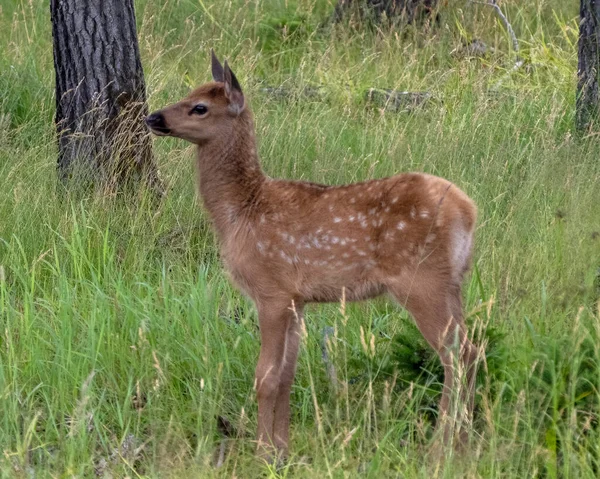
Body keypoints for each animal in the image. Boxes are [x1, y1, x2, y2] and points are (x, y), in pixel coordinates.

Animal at [148, 50, 480, 464]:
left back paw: (442, 449)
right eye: (189, 93)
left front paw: (262, 454)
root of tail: (469, 210)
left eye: (199, 107)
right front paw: (283, 449)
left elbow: (265, 376)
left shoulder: (271, 291)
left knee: (457, 354)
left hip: (422, 280)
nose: (153, 117)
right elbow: (287, 375)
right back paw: (463, 443)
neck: (239, 212)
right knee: (472, 349)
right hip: (453, 283)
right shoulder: (297, 299)